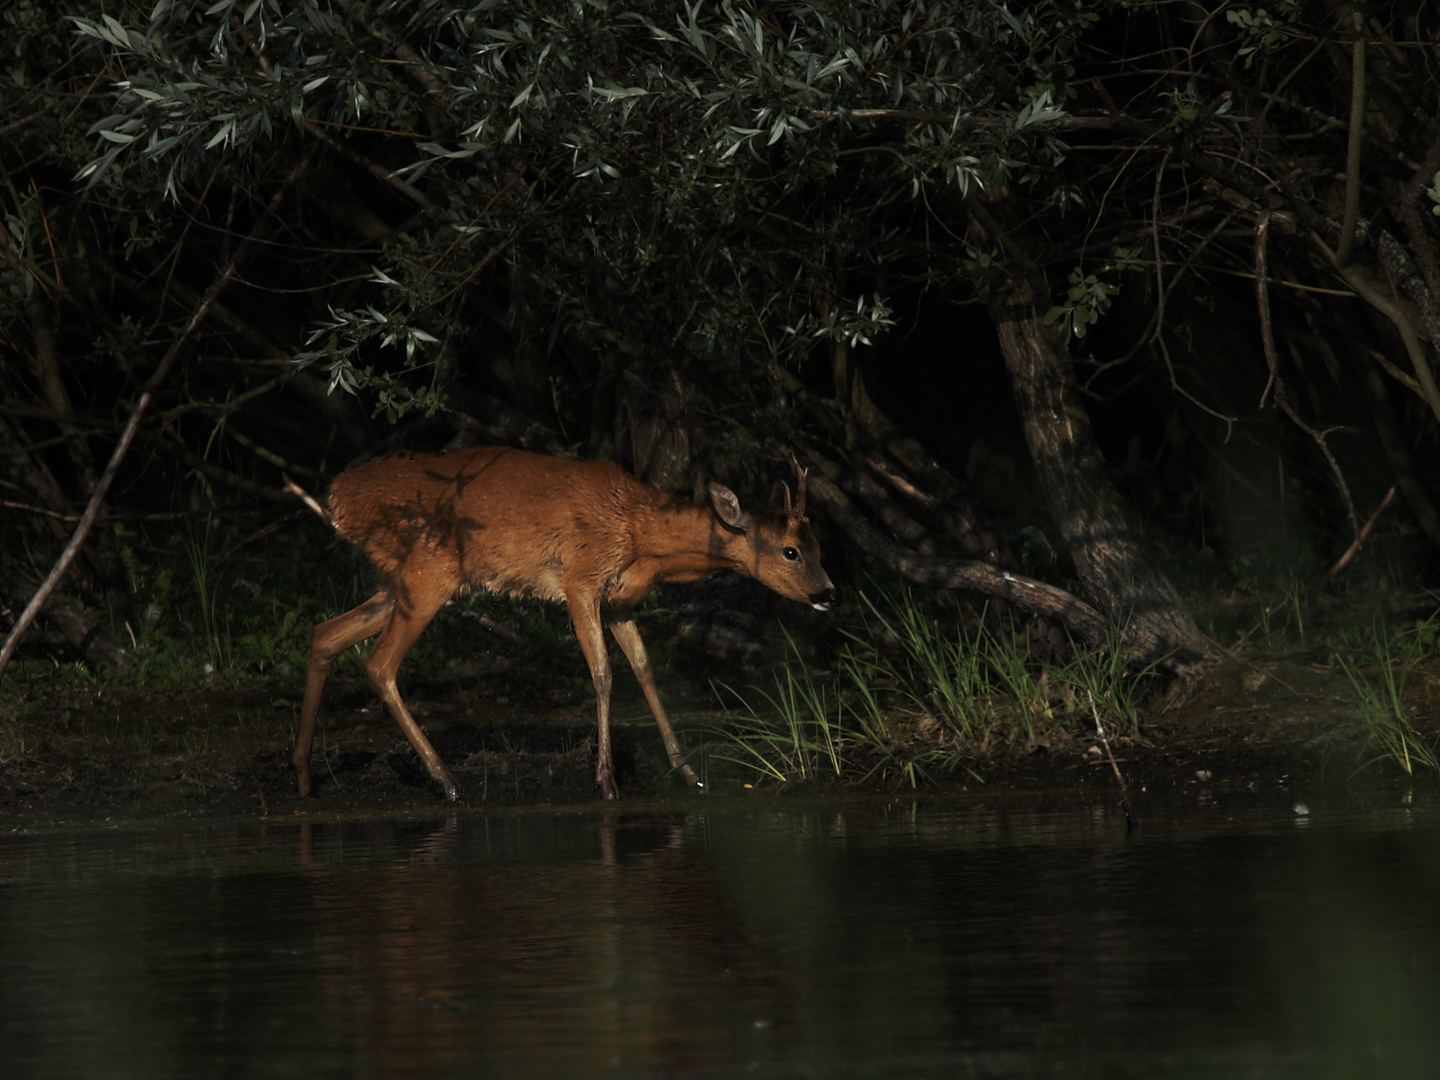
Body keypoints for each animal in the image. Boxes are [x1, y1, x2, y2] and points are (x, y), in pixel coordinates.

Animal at [292, 443, 840, 800]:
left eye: (817, 544)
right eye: (790, 551)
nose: (829, 594)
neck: (642, 533)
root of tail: (337, 497)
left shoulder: (619, 600)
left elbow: (644, 668)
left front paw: (687, 773)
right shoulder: (580, 577)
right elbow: (602, 672)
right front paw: (606, 780)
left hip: (400, 577)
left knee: (326, 634)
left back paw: (304, 775)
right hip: (431, 567)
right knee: (379, 663)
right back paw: (446, 782)